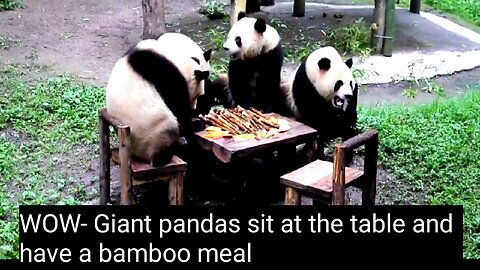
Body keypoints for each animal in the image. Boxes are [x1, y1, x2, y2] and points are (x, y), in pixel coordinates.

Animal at [105, 38, 210, 167]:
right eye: (197, 96)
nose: (194, 108)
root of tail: (136, 154)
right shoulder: (163, 74)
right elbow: (177, 107)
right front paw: (196, 123)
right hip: (152, 132)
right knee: (168, 130)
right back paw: (164, 157)